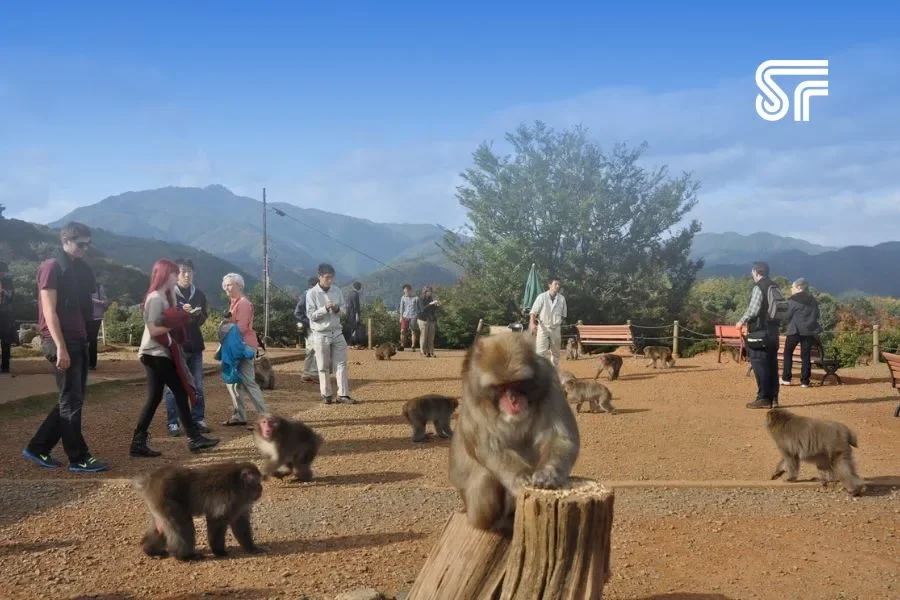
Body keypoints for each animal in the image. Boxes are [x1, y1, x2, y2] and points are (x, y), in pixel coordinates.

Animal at [132, 461, 265, 561]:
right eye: (257, 482)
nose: (261, 489)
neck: (238, 484)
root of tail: (151, 479)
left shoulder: (240, 503)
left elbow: (239, 523)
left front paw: (251, 547)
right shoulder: (228, 499)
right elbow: (216, 521)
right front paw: (219, 551)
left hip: (157, 505)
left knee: (161, 527)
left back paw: (150, 550)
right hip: (166, 500)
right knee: (182, 525)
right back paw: (185, 556)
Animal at [448, 331, 580, 532]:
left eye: (517, 383)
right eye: (501, 387)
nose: (513, 400)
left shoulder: (549, 380)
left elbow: (559, 436)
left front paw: (548, 473)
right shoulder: (474, 394)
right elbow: (490, 446)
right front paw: (521, 476)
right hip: (473, 510)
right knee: (486, 475)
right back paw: (497, 525)